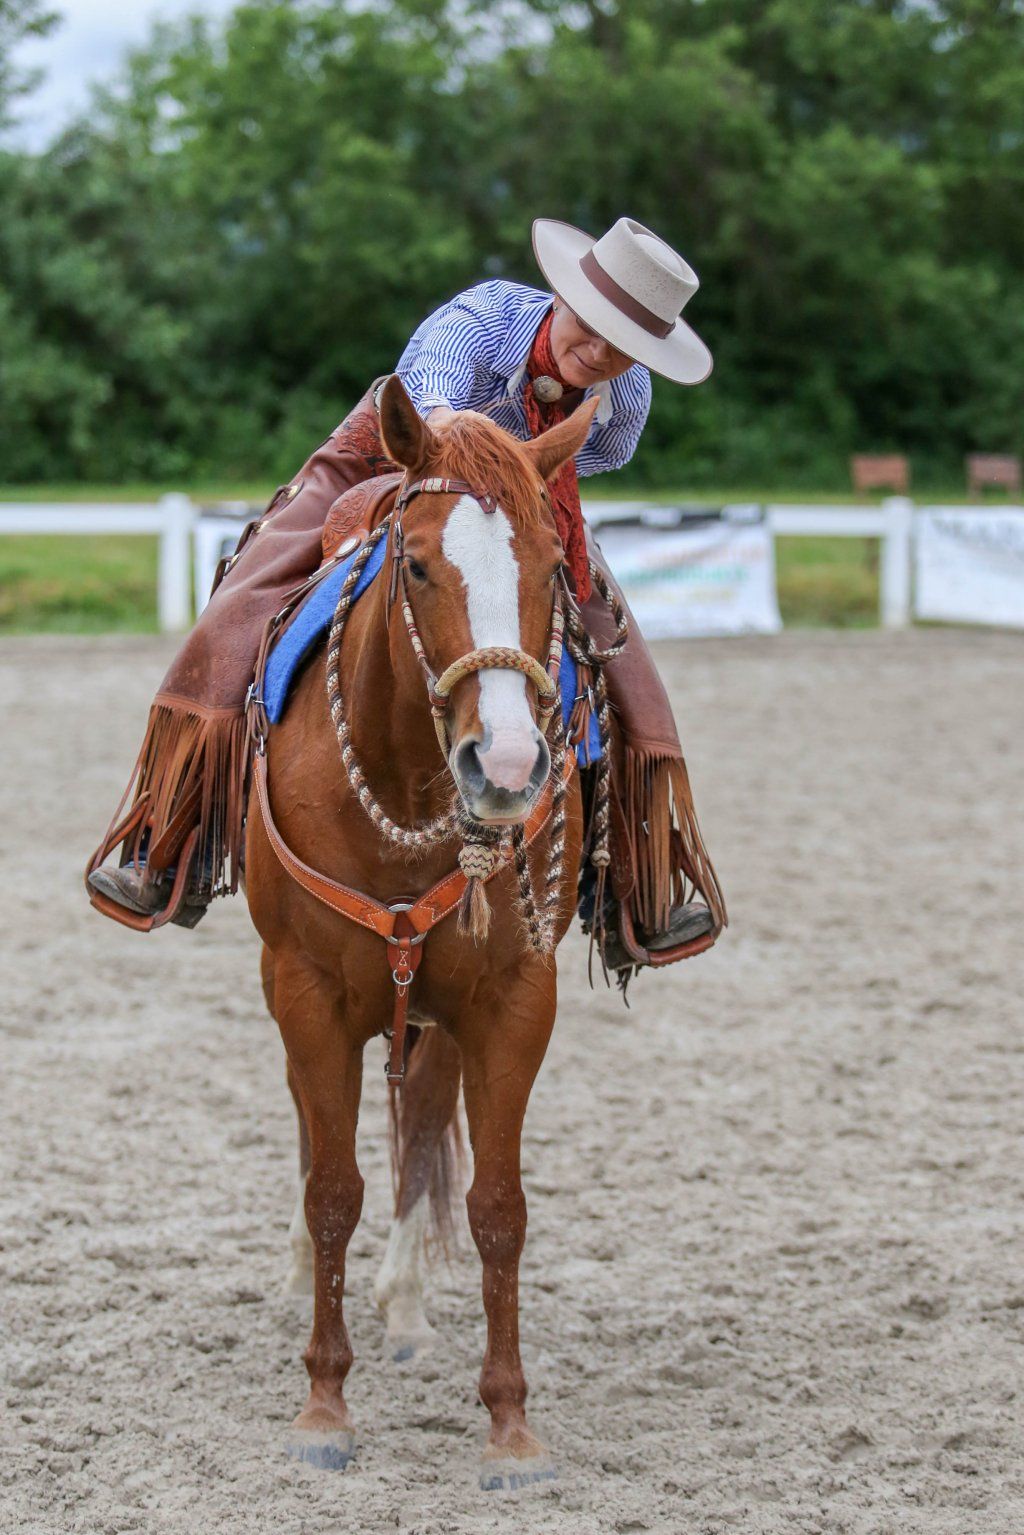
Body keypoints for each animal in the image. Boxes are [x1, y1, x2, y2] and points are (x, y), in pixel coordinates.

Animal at [245, 375, 602, 1486]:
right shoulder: (306, 992)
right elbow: (331, 1188)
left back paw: (404, 1305)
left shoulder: (513, 1000)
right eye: (414, 563)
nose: (510, 765)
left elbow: (498, 1206)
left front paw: (511, 1423)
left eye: (549, 563)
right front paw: (323, 1406)